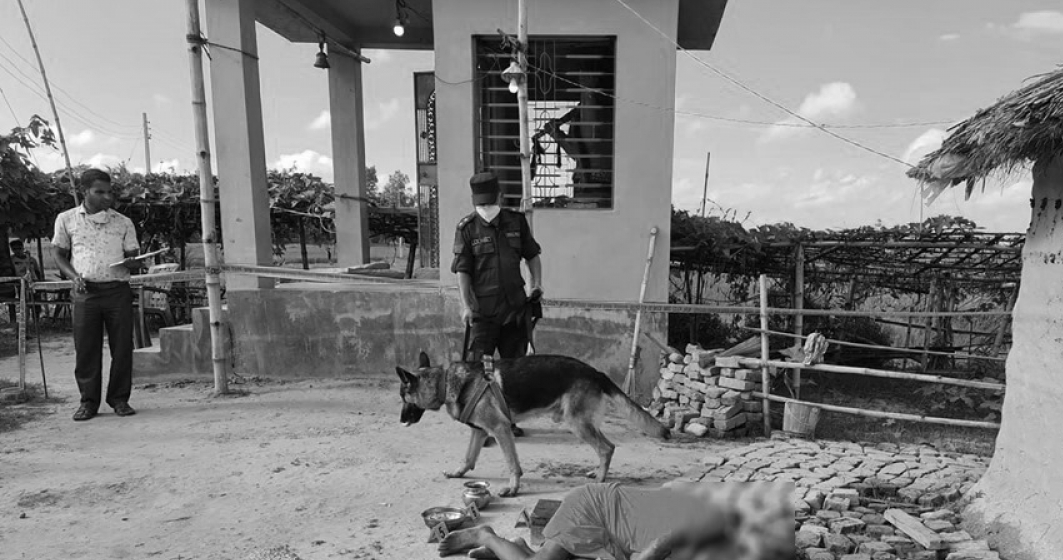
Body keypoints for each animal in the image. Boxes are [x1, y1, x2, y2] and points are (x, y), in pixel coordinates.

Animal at [395, 352, 667, 497]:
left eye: (403, 397)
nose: (400, 420)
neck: (446, 382)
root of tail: (595, 372)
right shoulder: (480, 432)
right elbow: (469, 458)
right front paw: (458, 473)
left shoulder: (501, 429)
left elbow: (512, 464)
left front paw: (513, 488)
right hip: (584, 423)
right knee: (605, 446)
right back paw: (596, 471)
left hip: (577, 423)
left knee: (607, 448)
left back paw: (600, 478)